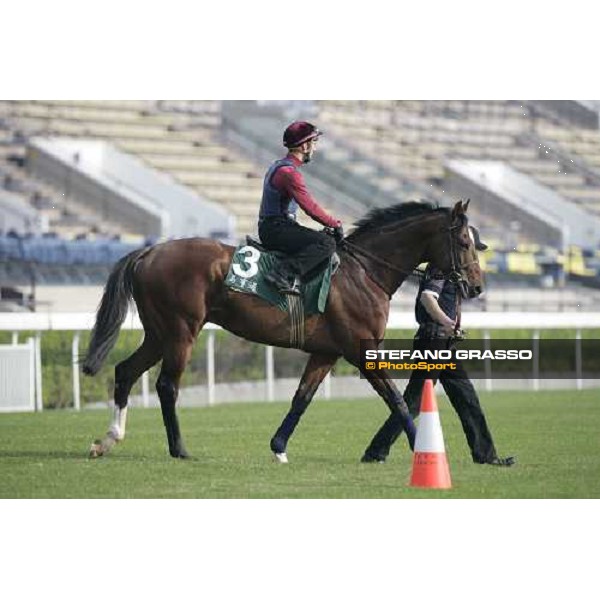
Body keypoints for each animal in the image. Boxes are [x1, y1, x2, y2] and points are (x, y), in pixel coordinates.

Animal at [82, 199, 482, 462]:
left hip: (158, 333)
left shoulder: (326, 352)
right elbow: (396, 398)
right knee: (167, 385)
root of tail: (148, 253)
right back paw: (179, 449)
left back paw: (108, 439)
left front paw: (278, 447)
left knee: (125, 371)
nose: (476, 287)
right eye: (465, 242)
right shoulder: (360, 348)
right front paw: (423, 448)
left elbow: (302, 399)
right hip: (181, 332)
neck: (364, 272)